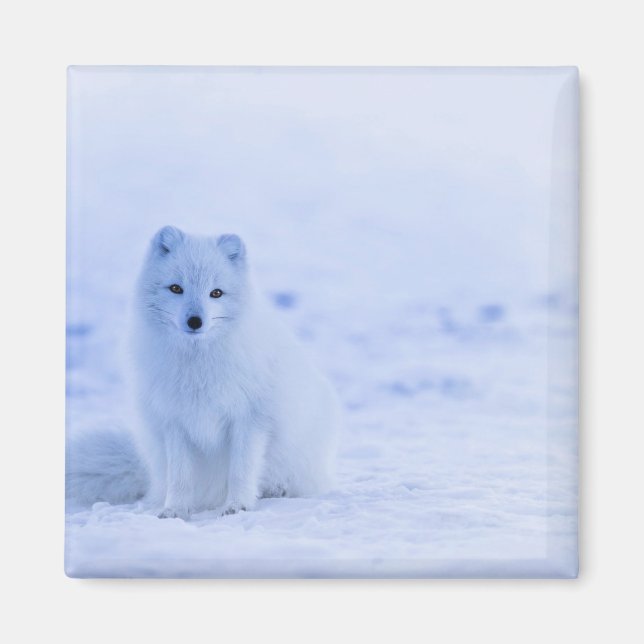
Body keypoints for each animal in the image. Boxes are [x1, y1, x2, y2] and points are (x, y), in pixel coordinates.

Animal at [66, 226, 340, 519]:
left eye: (216, 293)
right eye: (176, 288)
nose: (195, 321)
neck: (197, 365)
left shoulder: (250, 419)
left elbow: (241, 470)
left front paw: (237, 506)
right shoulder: (174, 421)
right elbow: (180, 477)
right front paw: (174, 510)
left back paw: (277, 490)